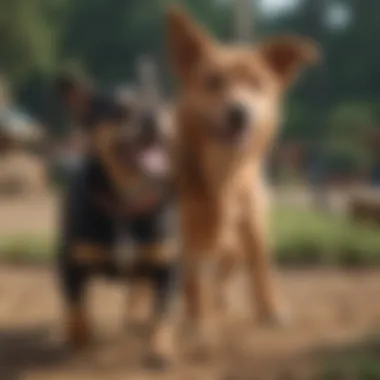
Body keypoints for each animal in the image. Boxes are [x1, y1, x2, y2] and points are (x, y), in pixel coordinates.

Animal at [55, 73, 179, 362]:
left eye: (161, 101)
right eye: (119, 110)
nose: (152, 115)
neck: (127, 201)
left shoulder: (165, 263)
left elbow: (163, 312)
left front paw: (161, 347)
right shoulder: (71, 263)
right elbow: (75, 305)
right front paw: (78, 336)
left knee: (140, 285)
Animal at [166, 5, 320, 348]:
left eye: (257, 83)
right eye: (212, 81)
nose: (239, 112)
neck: (225, 174)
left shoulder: (253, 223)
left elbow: (262, 270)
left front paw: (271, 312)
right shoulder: (187, 232)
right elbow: (195, 283)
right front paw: (201, 327)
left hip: (233, 248)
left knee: (226, 275)